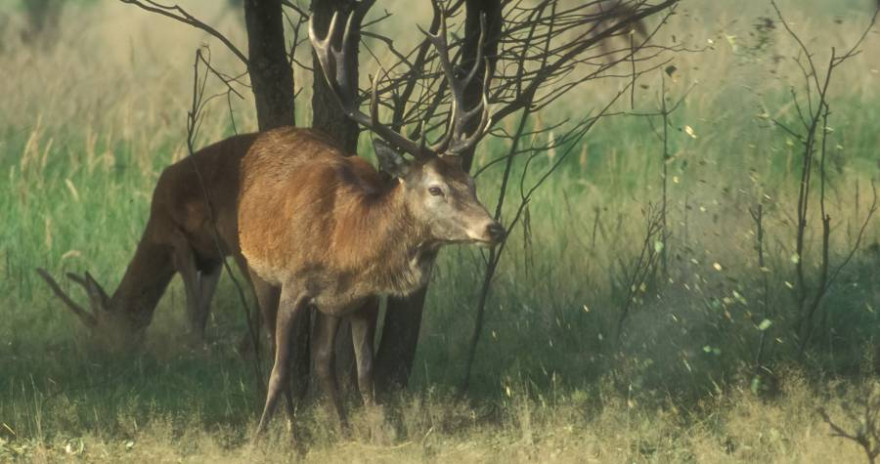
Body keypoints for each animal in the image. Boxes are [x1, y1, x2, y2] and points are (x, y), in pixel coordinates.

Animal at [38, 134, 258, 344]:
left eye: (100, 331)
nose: (99, 351)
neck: (154, 234)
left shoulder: (177, 241)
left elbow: (193, 311)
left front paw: (193, 348)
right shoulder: (212, 257)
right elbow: (203, 310)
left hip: (238, 234)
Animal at [244, 3, 506, 436]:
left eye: (471, 182)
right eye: (435, 188)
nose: (494, 228)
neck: (345, 242)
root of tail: (270, 134)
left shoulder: (365, 299)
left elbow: (365, 373)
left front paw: (379, 433)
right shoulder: (295, 282)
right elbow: (279, 370)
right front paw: (259, 438)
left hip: (332, 307)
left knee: (323, 360)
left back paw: (342, 427)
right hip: (257, 269)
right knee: (279, 354)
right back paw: (294, 433)